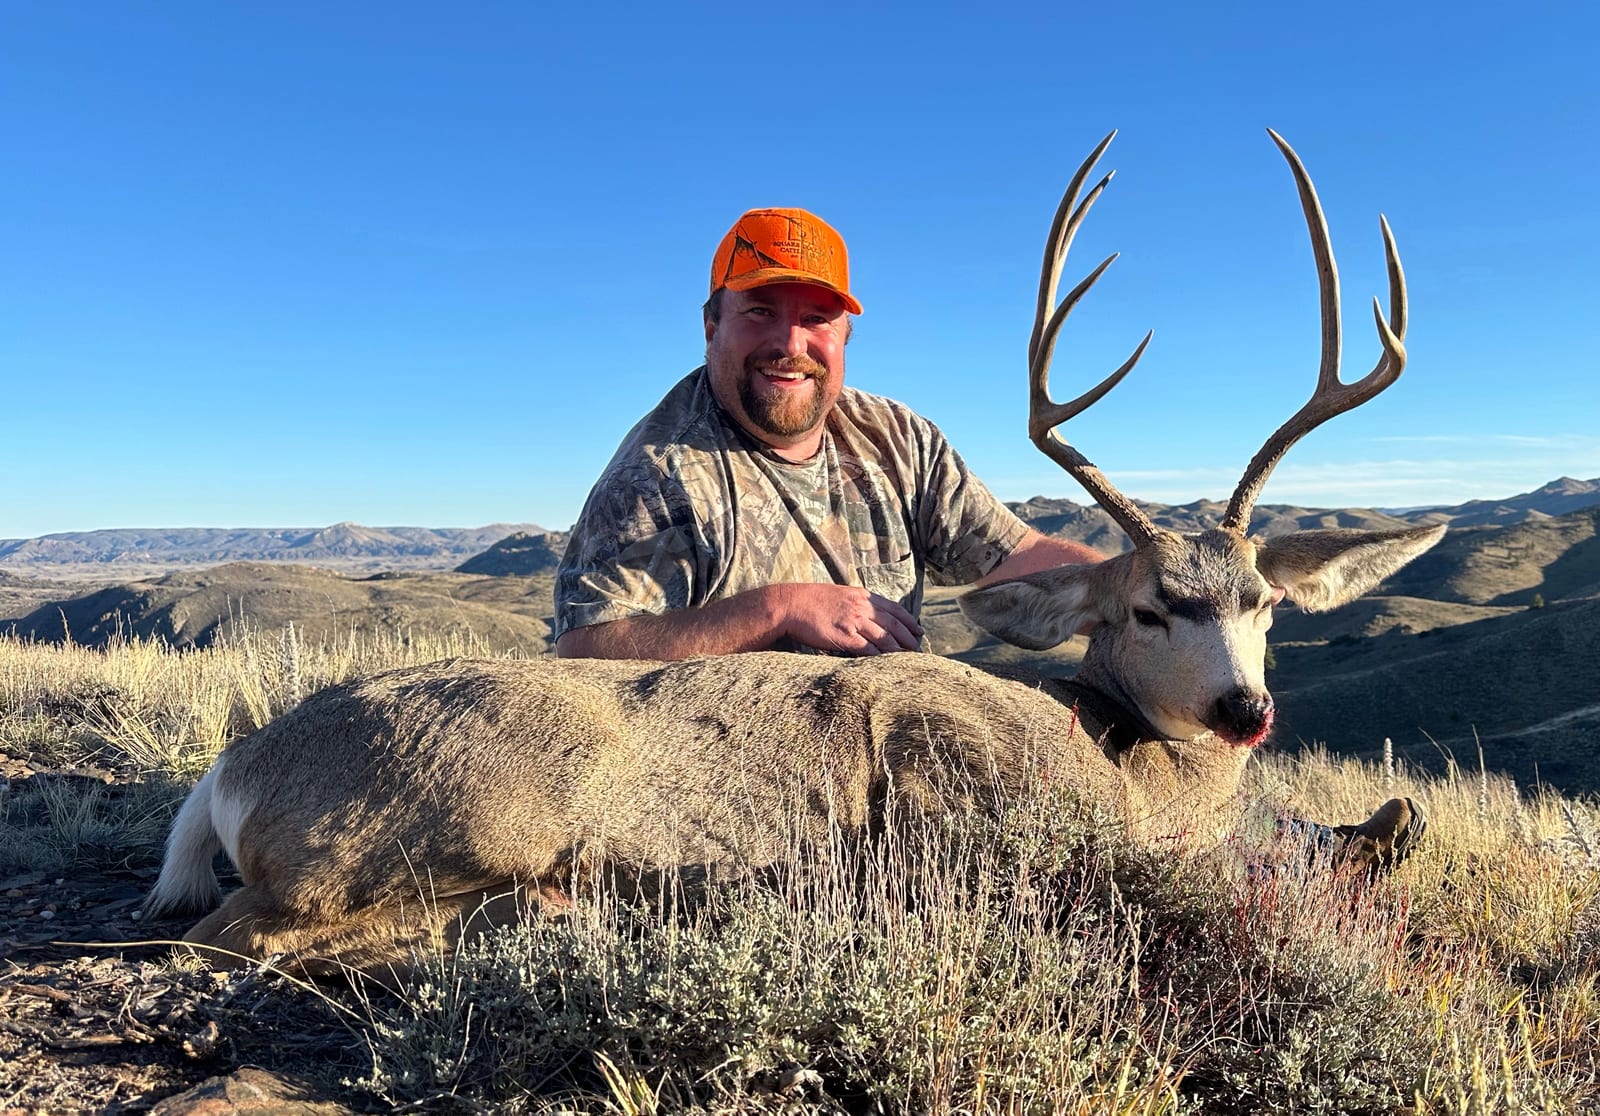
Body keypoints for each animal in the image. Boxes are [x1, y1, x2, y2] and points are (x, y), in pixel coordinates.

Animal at [143, 131, 1445, 977]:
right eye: (1147, 608)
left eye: (1265, 603)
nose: (1243, 710)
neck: (1123, 763)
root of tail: (231, 769)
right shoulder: (953, 785)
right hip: (453, 813)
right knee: (236, 935)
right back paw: (557, 917)